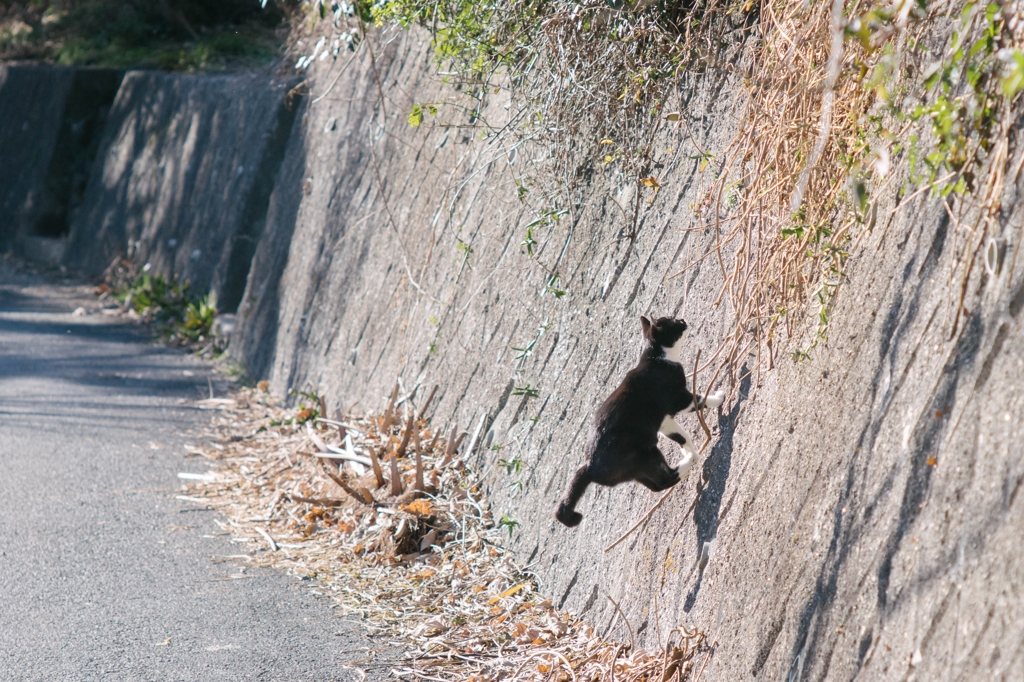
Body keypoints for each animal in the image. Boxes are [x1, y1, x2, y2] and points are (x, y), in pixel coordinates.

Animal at [557, 315, 724, 528]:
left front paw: (688, 449)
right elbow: (701, 400)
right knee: (664, 479)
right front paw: (719, 398)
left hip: (636, 469)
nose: (682, 319)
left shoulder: (663, 421)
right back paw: (688, 462)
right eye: (672, 320)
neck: (659, 359)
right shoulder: (677, 400)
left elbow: (680, 437)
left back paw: (689, 460)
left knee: (655, 486)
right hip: (646, 456)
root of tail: (589, 465)